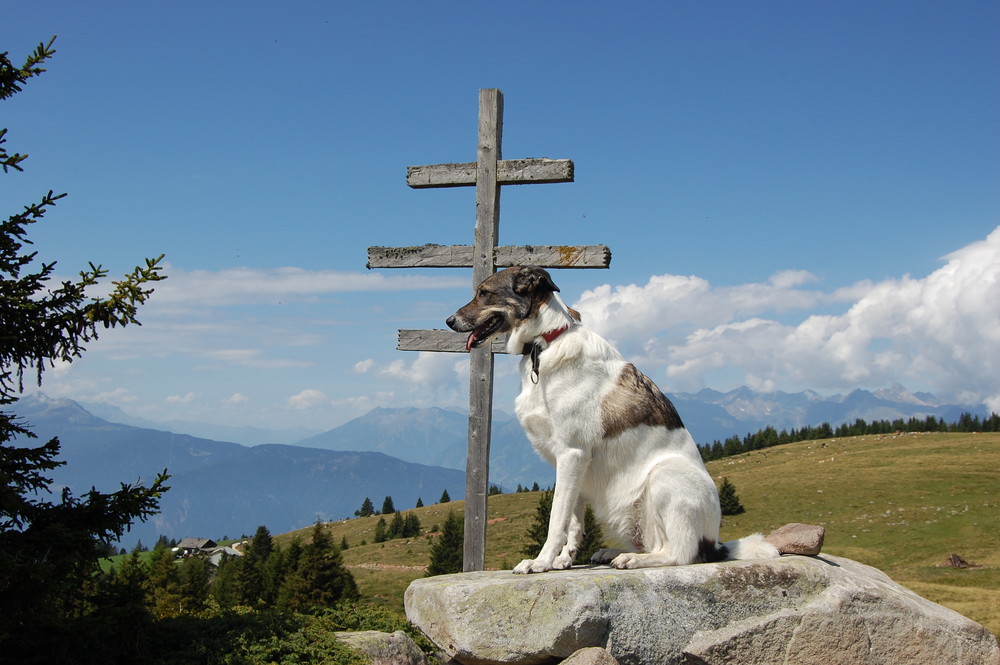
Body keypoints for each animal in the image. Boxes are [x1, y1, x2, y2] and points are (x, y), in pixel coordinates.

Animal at [448, 264, 780, 572]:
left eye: (484, 293)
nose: (448, 321)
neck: (546, 342)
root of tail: (716, 543)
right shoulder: (569, 463)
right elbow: (573, 521)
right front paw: (563, 560)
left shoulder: (572, 454)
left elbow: (556, 519)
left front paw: (540, 562)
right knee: (658, 544)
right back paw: (613, 553)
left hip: (665, 476)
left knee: (680, 554)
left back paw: (632, 559)